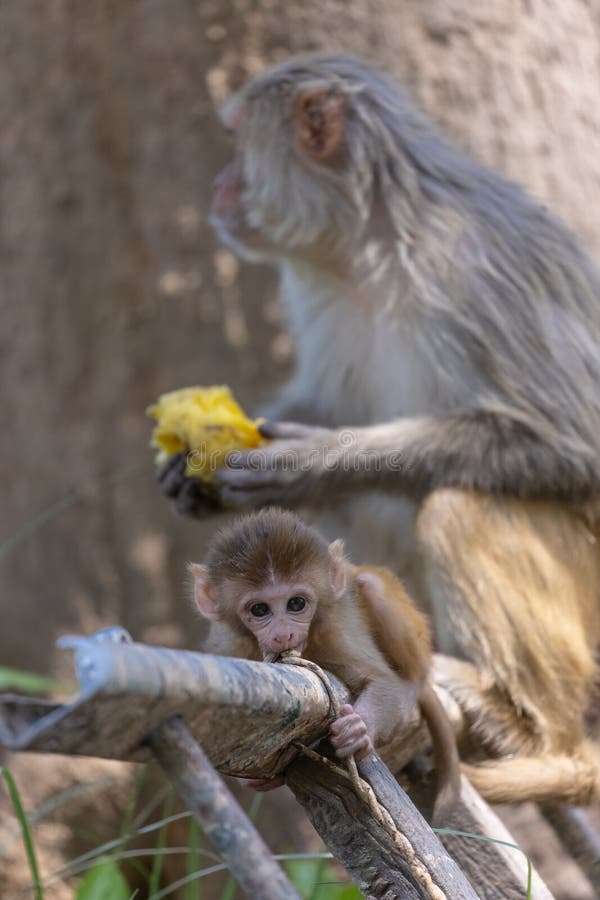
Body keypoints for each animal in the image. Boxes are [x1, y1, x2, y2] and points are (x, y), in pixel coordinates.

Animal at [190, 507, 461, 824]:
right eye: (259, 609)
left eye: (296, 604)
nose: (282, 634)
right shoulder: (229, 645)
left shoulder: (334, 630)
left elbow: (383, 681)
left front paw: (357, 730)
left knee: (371, 586)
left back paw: (411, 683)